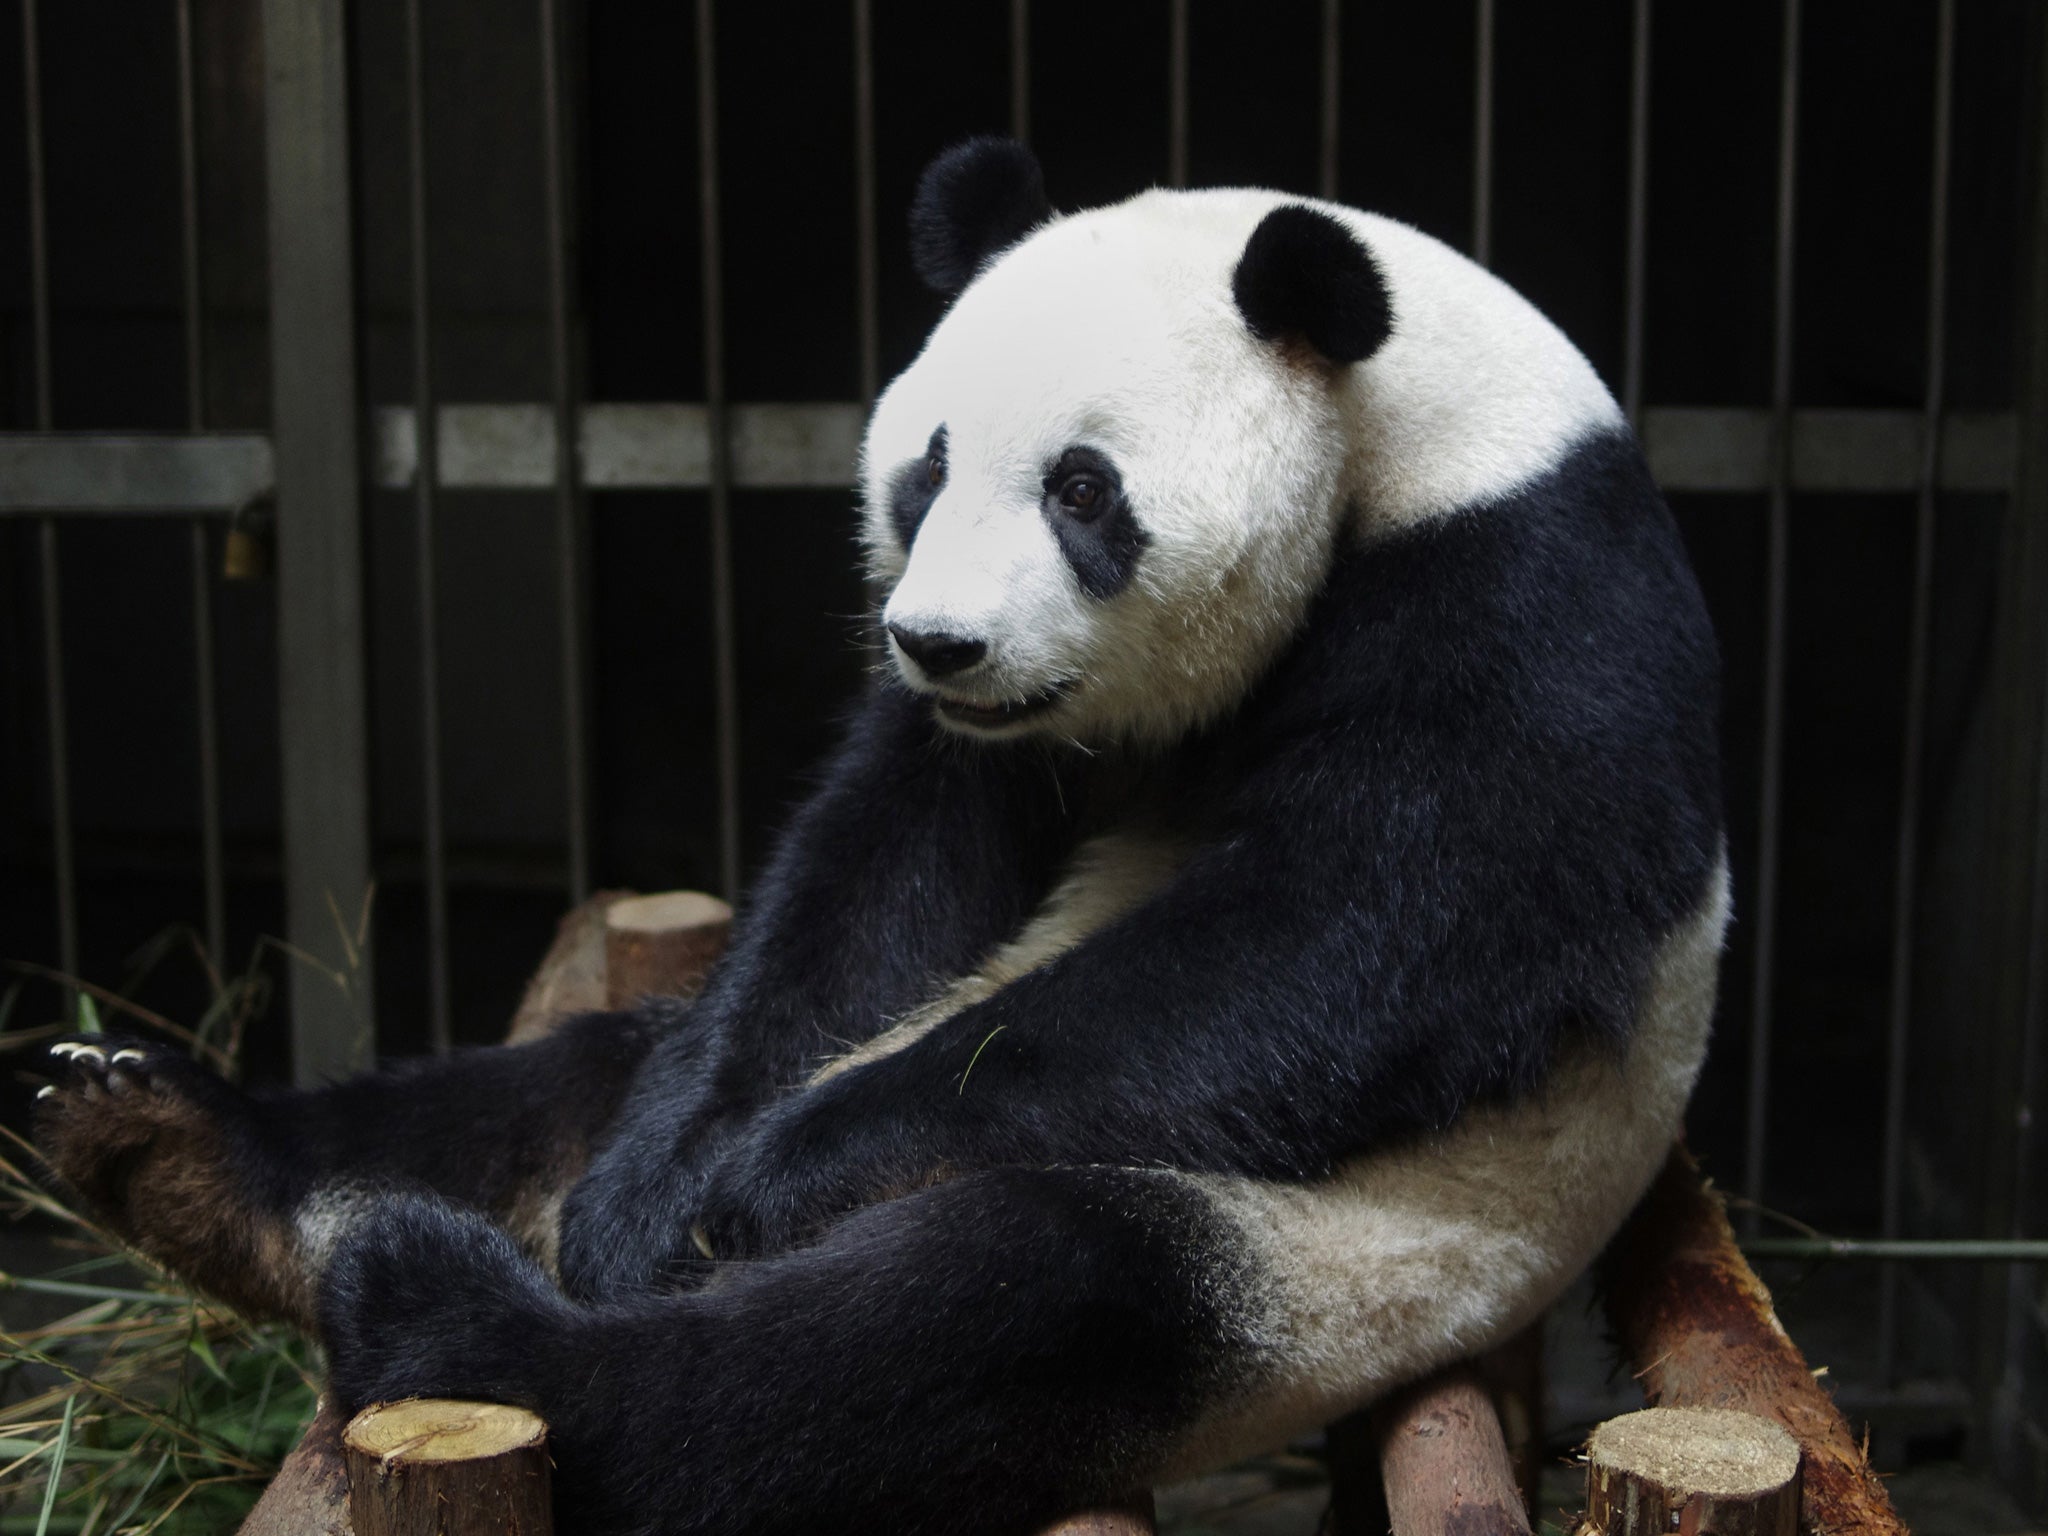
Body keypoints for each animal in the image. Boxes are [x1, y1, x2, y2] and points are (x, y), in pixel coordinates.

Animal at [36, 138, 1728, 1531]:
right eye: (929, 463)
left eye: (1083, 489)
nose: (938, 645)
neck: (1411, 428)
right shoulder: (988, 757)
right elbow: (882, 870)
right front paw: (658, 1202)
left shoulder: (1523, 595)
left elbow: (1377, 930)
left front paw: (773, 1183)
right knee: (564, 1085)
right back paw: (171, 1148)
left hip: (1349, 1260)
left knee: (985, 1314)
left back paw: (456, 1321)